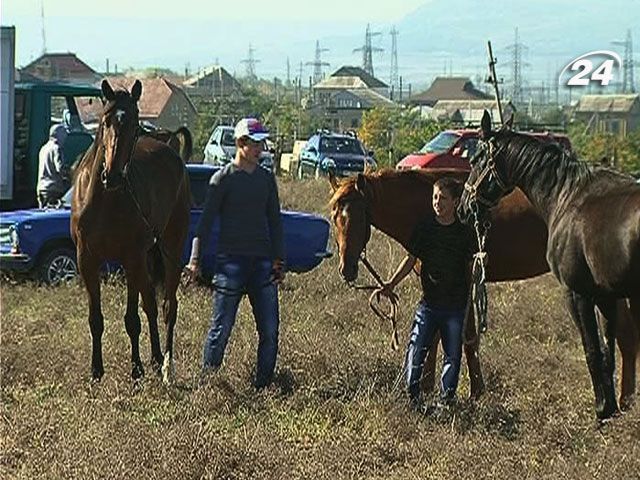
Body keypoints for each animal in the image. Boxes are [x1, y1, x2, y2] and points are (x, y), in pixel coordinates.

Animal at [71, 80, 190, 384]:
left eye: (136, 126)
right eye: (106, 120)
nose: (112, 175)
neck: (105, 200)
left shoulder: (131, 257)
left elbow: (132, 319)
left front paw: (136, 369)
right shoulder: (87, 260)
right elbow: (96, 319)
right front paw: (96, 371)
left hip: (170, 248)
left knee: (167, 306)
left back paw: (166, 366)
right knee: (150, 302)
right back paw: (156, 357)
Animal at [330, 169, 640, 408]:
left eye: (359, 216)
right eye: (334, 216)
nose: (347, 269)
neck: (432, 211)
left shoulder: (464, 282)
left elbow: (464, 338)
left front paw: (474, 391)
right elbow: (435, 335)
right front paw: (428, 384)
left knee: (625, 336)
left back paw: (623, 402)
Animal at [460, 110, 640, 418]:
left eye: (475, 159)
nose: (463, 206)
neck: (567, 196)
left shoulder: (578, 294)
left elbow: (592, 350)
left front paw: (601, 410)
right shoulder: (606, 297)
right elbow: (608, 352)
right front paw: (612, 408)